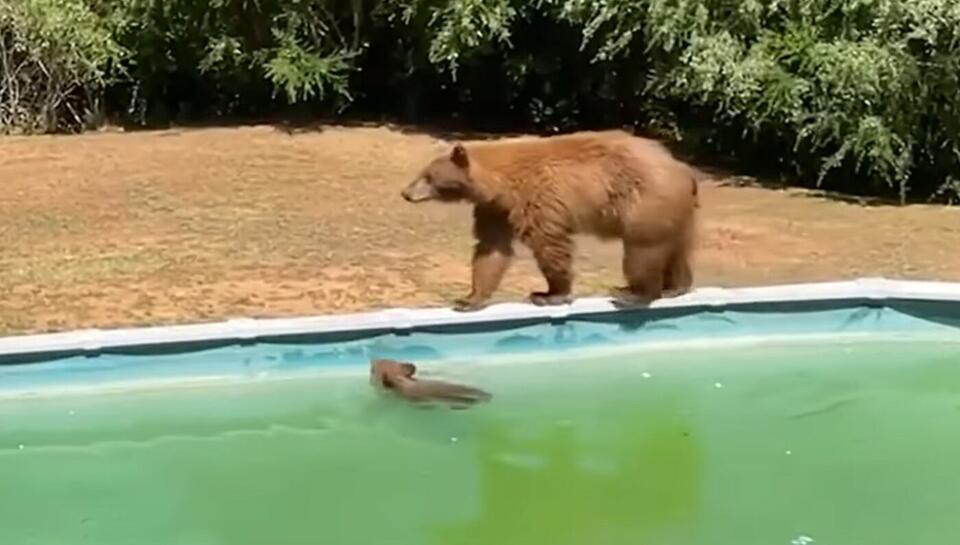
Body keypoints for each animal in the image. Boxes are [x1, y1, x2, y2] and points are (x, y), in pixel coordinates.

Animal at [400, 129, 699, 311]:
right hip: (675, 212)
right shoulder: (495, 208)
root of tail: (684, 170)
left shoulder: (537, 199)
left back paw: (636, 292)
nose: (405, 193)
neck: (500, 182)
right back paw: (675, 287)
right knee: (677, 248)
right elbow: (491, 248)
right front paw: (469, 298)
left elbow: (548, 243)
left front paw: (550, 294)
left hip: (645, 202)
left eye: (428, 177)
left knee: (641, 250)